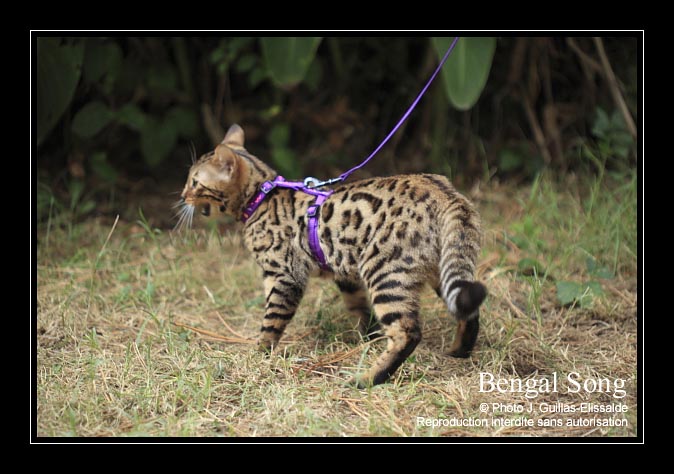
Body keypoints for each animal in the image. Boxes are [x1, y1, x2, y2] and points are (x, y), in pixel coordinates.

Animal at [177, 124, 484, 386]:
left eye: (194, 182)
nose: (182, 196)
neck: (261, 198)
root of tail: (443, 191)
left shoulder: (284, 276)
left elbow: (271, 321)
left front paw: (260, 354)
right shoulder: (345, 273)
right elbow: (359, 308)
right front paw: (367, 338)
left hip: (383, 271)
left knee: (407, 332)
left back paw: (368, 378)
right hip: (438, 268)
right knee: (469, 306)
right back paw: (459, 351)